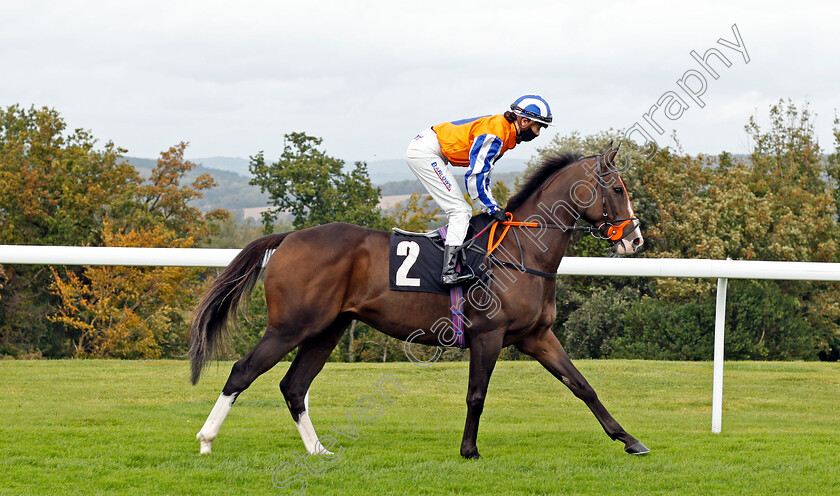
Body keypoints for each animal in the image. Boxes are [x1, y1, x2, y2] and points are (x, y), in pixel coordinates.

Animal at [189, 141, 648, 460]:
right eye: (617, 188)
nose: (635, 239)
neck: (521, 252)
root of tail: (289, 238)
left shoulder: (536, 336)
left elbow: (583, 386)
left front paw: (630, 440)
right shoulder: (488, 335)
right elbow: (477, 394)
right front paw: (469, 451)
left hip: (326, 329)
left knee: (294, 386)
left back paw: (318, 450)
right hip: (291, 326)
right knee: (243, 371)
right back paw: (206, 441)